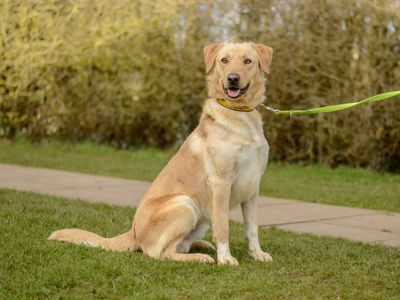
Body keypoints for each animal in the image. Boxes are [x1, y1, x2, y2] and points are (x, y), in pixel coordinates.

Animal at [49, 42, 276, 264]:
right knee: (161, 253)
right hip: (186, 204)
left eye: (247, 61)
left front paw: (257, 253)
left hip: (201, 215)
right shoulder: (221, 183)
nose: (233, 79)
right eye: (224, 60)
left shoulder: (252, 185)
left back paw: (201, 245)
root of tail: (133, 232)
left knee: (180, 245)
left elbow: (252, 228)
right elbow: (223, 228)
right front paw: (225, 258)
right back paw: (200, 257)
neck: (240, 115)